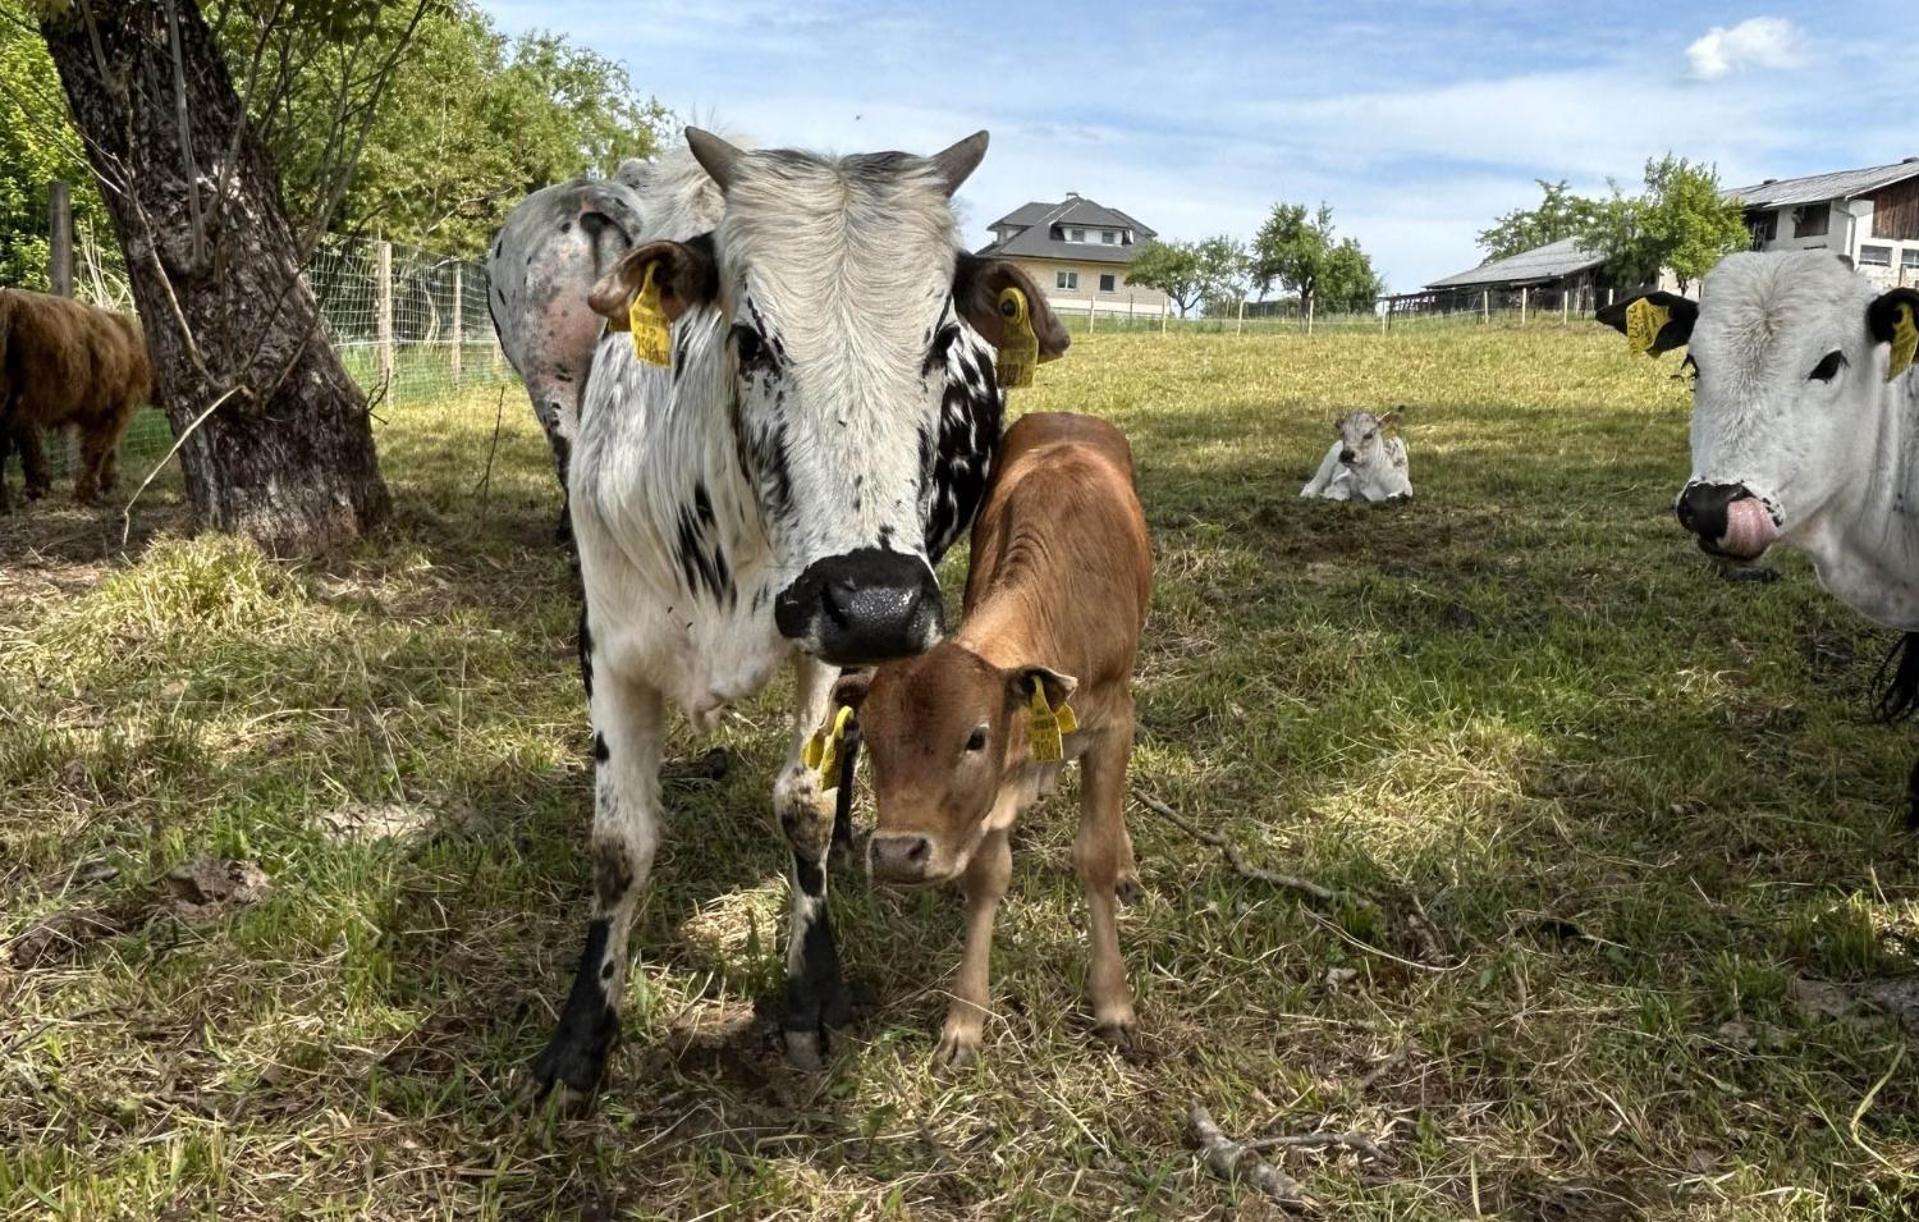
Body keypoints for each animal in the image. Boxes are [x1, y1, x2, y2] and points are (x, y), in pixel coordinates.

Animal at [487, 128, 1074, 1097]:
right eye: (752, 338)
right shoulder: (607, 649)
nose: (876, 601)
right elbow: (619, 844)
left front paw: (810, 994)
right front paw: (580, 1038)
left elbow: (801, 800)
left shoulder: (827, 642)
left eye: (937, 338)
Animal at [829, 406, 1151, 1058]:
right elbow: (986, 875)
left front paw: (1113, 1002)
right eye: (870, 738)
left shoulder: (1114, 724)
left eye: (976, 737)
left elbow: (1097, 854)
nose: (896, 854)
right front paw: (965, 1017)